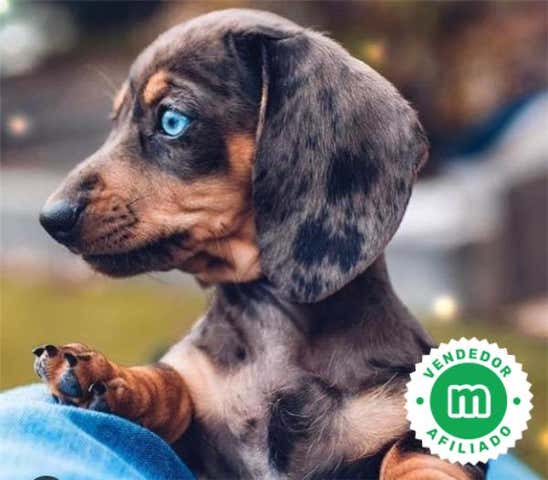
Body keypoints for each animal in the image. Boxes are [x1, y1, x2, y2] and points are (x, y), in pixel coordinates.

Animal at [34, 9, 484, 480]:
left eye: (172, 121)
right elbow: (174, 382)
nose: (50, 218)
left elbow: (416, 457)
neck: (273, 319)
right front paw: (107, 376)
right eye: (115, 121)